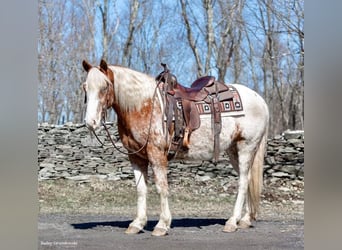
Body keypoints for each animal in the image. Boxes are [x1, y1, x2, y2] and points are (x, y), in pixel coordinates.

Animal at [81, 59, 268, 235]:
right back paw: (245, 219)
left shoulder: (157, 155)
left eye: (105, 86)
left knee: (243, 182)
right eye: (85, 87)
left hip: (246, 147)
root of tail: (260, 100)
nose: (91, 122)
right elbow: (141, 189)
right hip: (233, 150)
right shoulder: (136, 156)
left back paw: (232, 222)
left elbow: (161, 188)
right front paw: (137, 224)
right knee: (248, 179)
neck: (144, 105)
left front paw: (162, 225)